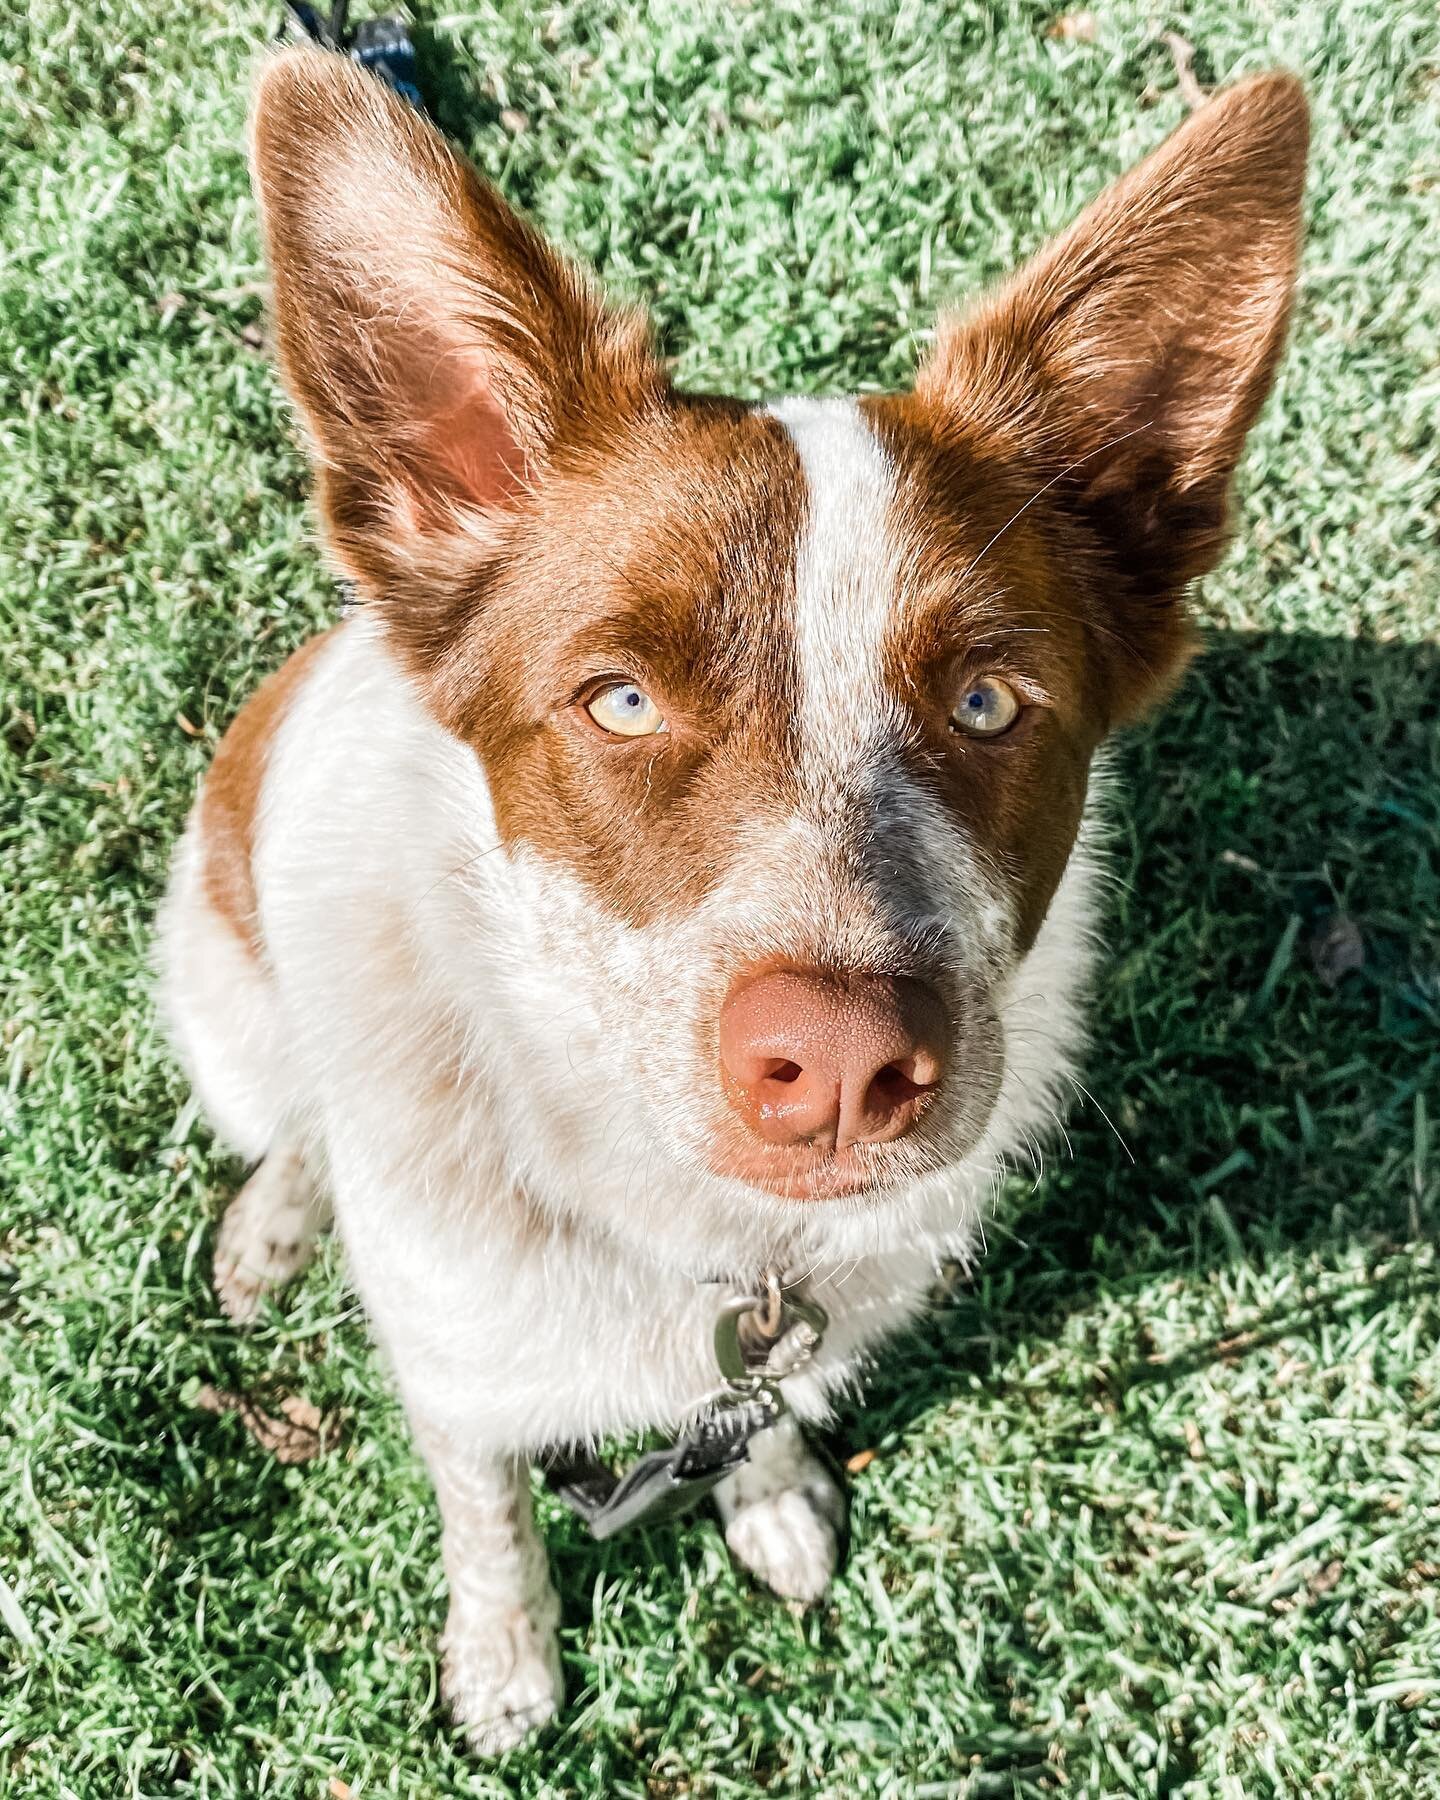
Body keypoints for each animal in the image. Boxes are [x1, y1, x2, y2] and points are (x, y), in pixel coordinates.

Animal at [154, 52, 1303, 1756]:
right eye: (619, 701)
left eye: (987, 701)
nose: (839, 1064)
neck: (681, 1223)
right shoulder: (461, 1387)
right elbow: (489, 1524)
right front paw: (506, 1662)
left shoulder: (785, 1336)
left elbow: (758, 1416)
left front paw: (765, 1500)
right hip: (221, 989)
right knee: (285, 1116)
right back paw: (277, 1220)